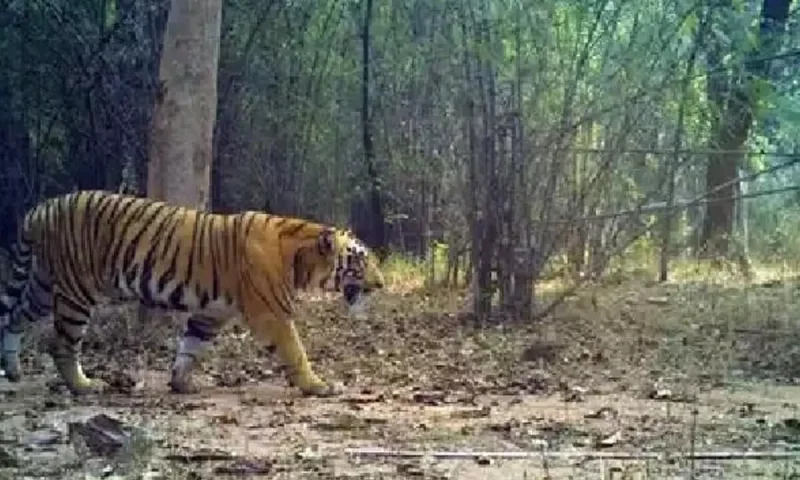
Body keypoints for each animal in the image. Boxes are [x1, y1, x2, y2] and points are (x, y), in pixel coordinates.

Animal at [0, 190, 385, 396]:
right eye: (360, 260)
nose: (381, 285)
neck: (299, 259)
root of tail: (41, 208)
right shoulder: (271, 314)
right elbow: (296, 351)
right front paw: (316, 385)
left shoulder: (212, 312)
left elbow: (191, 347)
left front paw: (181, 383)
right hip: (76, 291)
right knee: (61, 343)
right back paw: (83, 386)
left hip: (43, 284)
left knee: (13, 317)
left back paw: (12, 369)